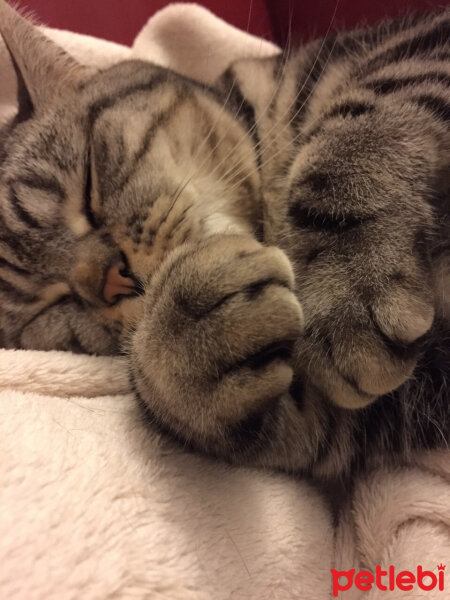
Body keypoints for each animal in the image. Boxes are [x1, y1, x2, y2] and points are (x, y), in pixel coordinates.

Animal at [0, 1, 448, 478]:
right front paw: (184, 350)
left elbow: (364, 128)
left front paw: (347, 282)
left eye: (88, 189)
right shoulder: (407, 397)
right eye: (53, 305)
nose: (111, 279)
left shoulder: (417, 46)